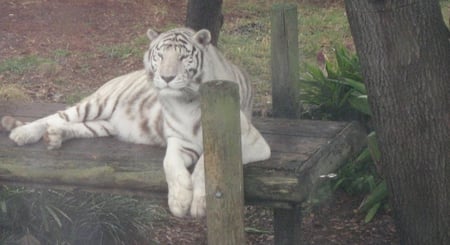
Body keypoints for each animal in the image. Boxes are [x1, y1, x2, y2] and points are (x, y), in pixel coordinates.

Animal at [0, 27, 270, 218]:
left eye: (183, 57)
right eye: (160, 55)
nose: (167, 77)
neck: (187, 101)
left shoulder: (250, 142)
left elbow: (206, 164)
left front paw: (197, 203)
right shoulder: (179, 140)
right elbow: (170, 163)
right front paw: (180, 200)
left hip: (103, 125)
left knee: (73, 126)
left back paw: (54, 136)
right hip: (97, 104)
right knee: (56, 116)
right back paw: (23, 133)